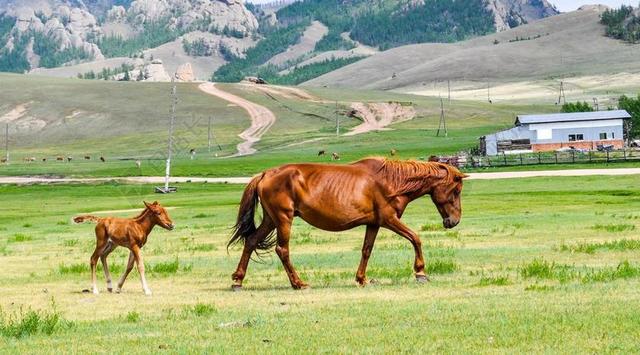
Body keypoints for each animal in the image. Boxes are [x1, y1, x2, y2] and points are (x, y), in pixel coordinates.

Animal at [228, 157, 468, 290]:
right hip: (283, 219)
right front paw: (420, 273)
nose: (453, 221)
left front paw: (361, 279)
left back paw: (238, 281)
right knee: (282, 249)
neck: (391, 181)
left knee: (251, 241)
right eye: (456, 191)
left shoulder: (374, 223)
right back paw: (298, 283)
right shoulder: (389, 220)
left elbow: (366, 250)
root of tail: (265, 174)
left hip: (271, 220)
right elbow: (416, 238)